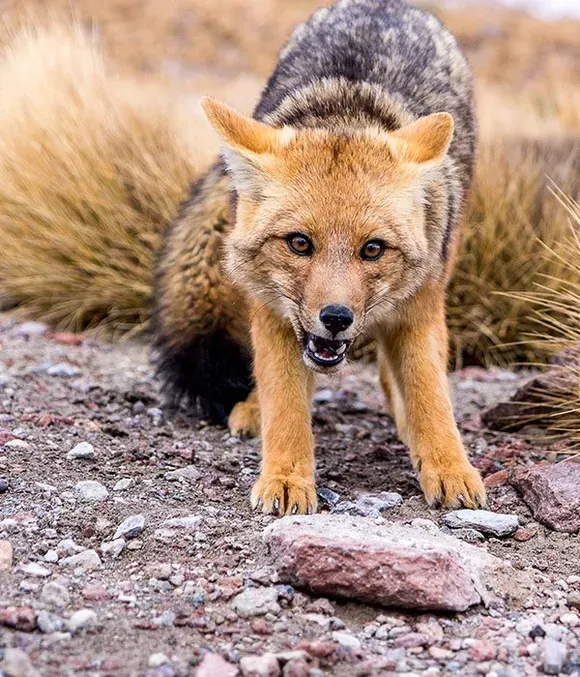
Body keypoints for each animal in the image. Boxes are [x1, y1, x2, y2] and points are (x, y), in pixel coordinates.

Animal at [154, 0, 487, 515]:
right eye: (299, 243)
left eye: (372, 249)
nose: (335, 318)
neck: (346, 111)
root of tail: (385, 6)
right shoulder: (273, 315)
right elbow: (286, 404)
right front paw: (287, 477)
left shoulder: (420, 309)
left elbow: (430, 394)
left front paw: (449, 466)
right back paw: (254, 408)